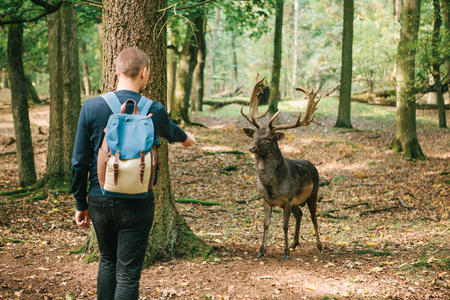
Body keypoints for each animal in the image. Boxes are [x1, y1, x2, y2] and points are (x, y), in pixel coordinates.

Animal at [243, 75, 324, 260]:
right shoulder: (266, 199)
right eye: (254, 135)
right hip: (297, 201)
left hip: (313, 193)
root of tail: (313, 165)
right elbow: (265, 224)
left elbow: (285, 225)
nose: (251, 147)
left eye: (268, 139)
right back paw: (295, 243)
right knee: (300, 214)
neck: (273, 185)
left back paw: (319, 245)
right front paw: (261, 250)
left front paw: (285, 252)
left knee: (314, 217)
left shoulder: (287, 198)